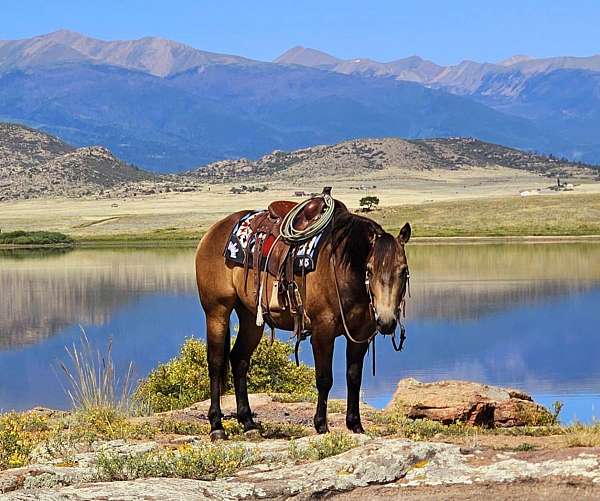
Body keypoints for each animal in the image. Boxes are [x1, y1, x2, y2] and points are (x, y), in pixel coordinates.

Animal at [195, 192, 410, 438]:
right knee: (216, 362)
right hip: (217, 311)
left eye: (403, 271)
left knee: (239, 360)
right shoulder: (323, 330)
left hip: (251, 318)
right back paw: (217, 426)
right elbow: (324, 379)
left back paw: (248, 421)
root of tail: (213, 231)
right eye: (369, 270)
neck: (341, 267)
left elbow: (354, 377)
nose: (386, 321)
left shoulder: (359, 335)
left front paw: (355, 425)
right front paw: (321, 425)